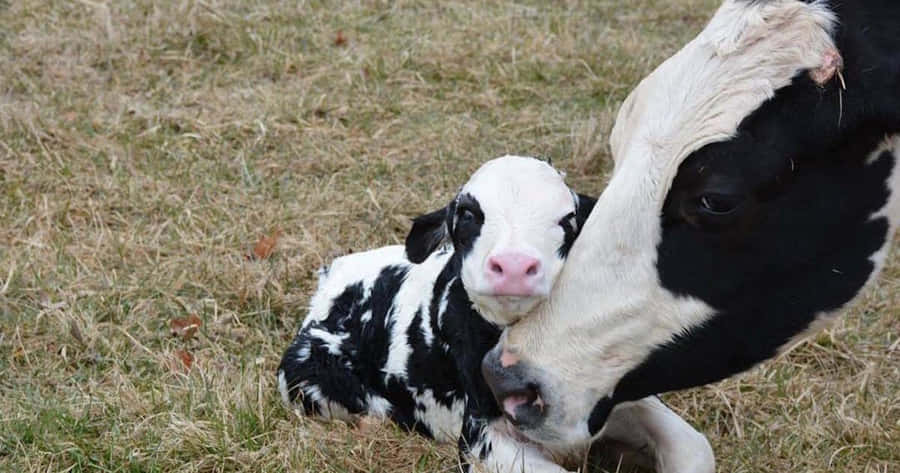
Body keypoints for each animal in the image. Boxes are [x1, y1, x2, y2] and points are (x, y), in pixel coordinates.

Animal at [278, 156, 716, 473]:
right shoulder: (481, 438)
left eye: (568, 219)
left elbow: (695, 448)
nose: (515, 265)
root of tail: (330, 278)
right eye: (469, 215)